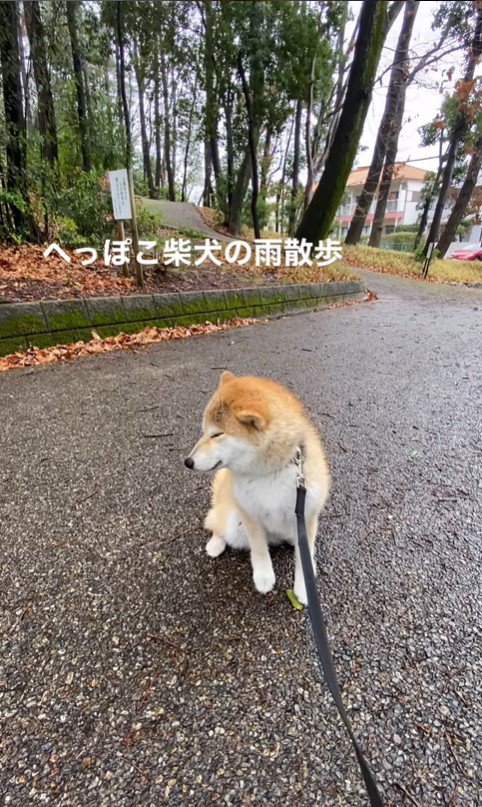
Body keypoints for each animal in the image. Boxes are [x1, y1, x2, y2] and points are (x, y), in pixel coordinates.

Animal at [183, 374, 330, 608]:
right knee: (216, 524)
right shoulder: (250, 513)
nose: (188, 462)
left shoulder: (306, 515)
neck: (270, 471)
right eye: (205, 431)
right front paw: (263, 577)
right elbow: (259, 549)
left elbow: (303, 558)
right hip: (232, 522)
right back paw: (215, 544)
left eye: (217, 434)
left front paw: (304, 586)